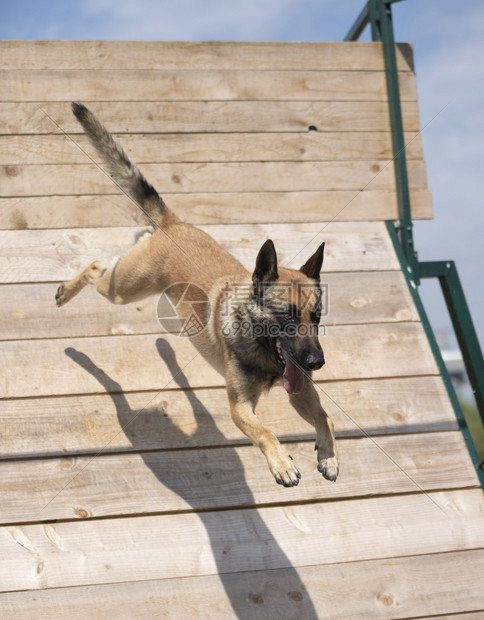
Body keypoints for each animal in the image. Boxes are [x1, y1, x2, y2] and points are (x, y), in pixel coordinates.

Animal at [55, 101, 336, 486]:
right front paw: (281, 462)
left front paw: (329, 456)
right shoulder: (239, 407)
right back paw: (67, 293)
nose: (317, 363)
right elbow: (264, 432)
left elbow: (325, 417)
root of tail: (174, 224)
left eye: (317, 317)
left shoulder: (301, 392)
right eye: (286, 316)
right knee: (97, 267)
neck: (261, 346)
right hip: (126, 290)